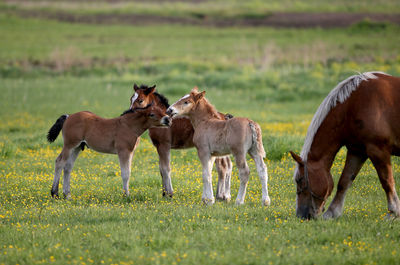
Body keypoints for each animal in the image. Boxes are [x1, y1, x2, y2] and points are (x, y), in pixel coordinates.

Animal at [290, 71, 400, 219]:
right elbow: (344, 181)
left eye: (300, 179)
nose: (301, 215)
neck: (354, 105)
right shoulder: (357, 151)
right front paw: (332, 212)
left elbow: (387, 181)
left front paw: (393, 211)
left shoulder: (378, 150)